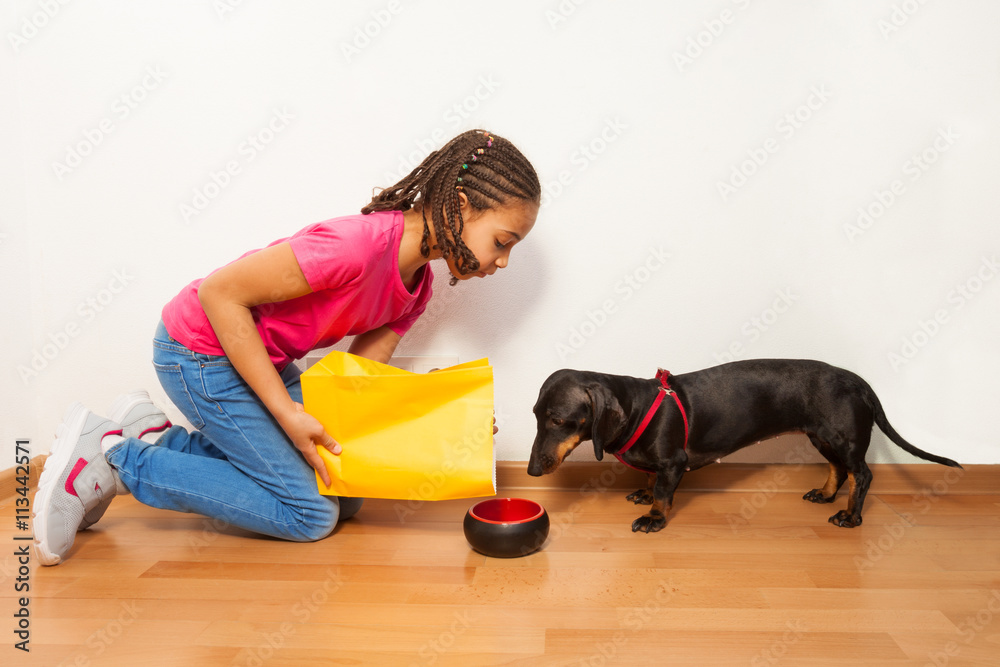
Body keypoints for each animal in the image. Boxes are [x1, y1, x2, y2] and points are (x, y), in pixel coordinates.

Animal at [528, 360, 956, 532]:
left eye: (558, 420)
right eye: (534, 414)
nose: (531, 471)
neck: (638, 407)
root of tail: (857, 381)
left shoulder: (674, 463)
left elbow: (664, 493)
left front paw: (654, 516)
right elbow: (651, 481)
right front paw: (643, 493)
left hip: (843, 438)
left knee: (862, 474)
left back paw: (851, 516)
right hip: (821, 437)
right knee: (839, 469)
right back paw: (826, 494)